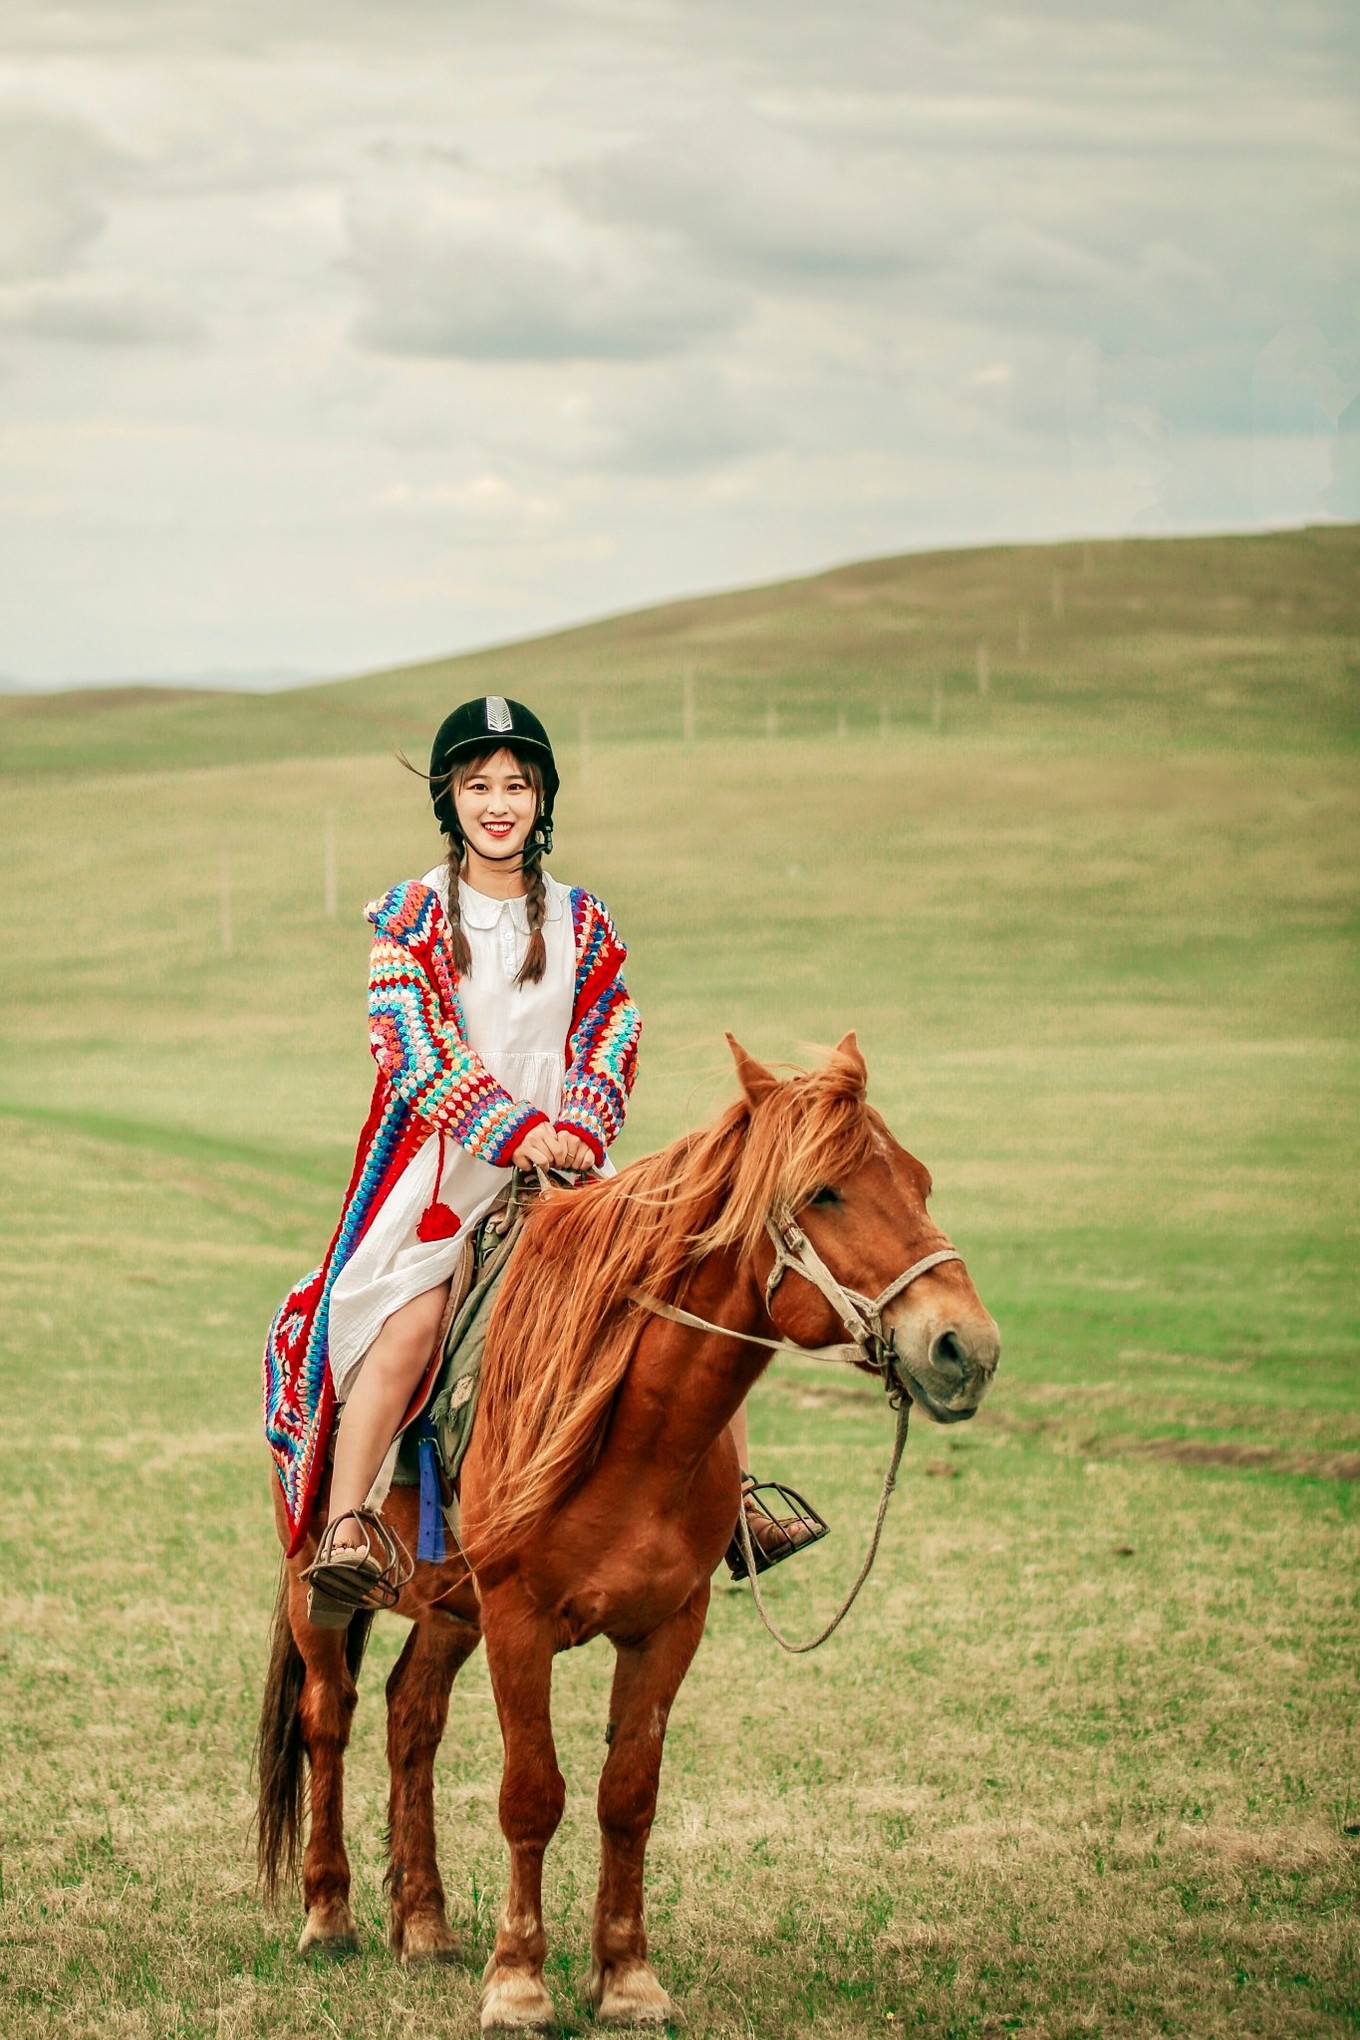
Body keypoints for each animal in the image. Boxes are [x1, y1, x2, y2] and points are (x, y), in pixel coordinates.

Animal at [254, 1036, 999, 2023]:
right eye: (825, 1193)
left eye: (918, 1181)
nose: (966, 1349)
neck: (637, 1428)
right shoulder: (521, 1620)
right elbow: (532, 1795)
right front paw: (519, 1983)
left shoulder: (668, 1624)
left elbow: (627, 1797)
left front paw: (628, 1978)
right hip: (318, 1581)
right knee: (327, 1716)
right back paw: (329, 1917)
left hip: (452, 1607)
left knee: (412, 1719)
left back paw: (425, 1927)